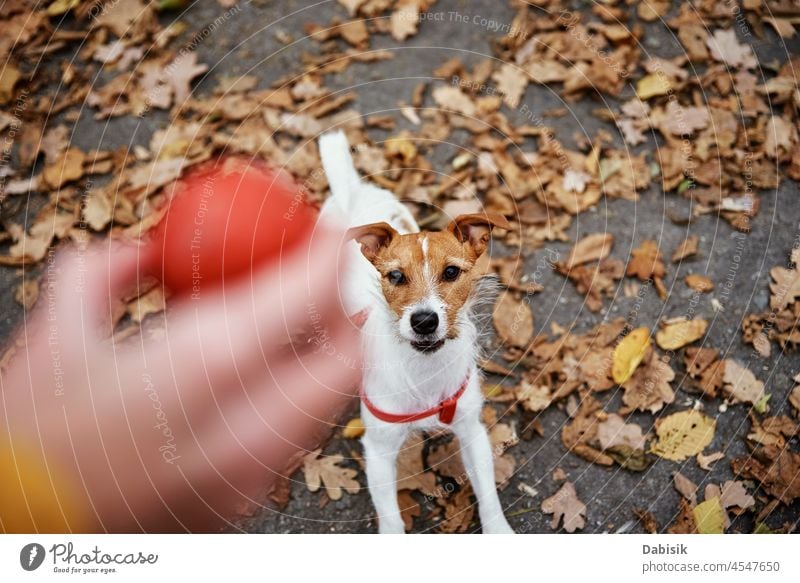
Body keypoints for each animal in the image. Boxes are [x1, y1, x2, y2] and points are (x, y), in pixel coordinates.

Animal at [318, 131, 512, 532]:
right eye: (395, 276)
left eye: (452, 272)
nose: (424, 321)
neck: (423, 368)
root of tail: (352, 189)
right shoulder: (378, 451)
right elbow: (391, 520)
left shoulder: (472, 431)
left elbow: (488, 496)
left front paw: (499, 529)